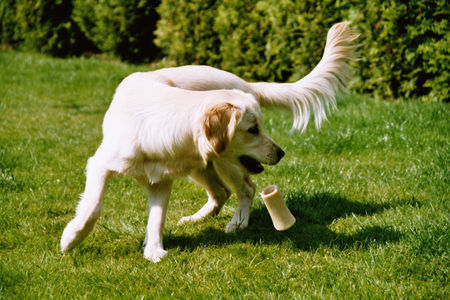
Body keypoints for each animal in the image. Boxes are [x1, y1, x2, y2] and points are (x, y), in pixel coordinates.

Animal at [60, 22, 358, 262]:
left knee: (245, 189)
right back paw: (196, 219)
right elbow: (94, 207)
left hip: (225, 161)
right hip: (204, 165)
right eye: (253, 129)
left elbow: (156, 217)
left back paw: (237, 223)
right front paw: (73, 238)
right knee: (221, 192)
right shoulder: (104, 165)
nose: (281, 153)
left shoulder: (160, 181)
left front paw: (152, 250)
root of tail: (245, 82)